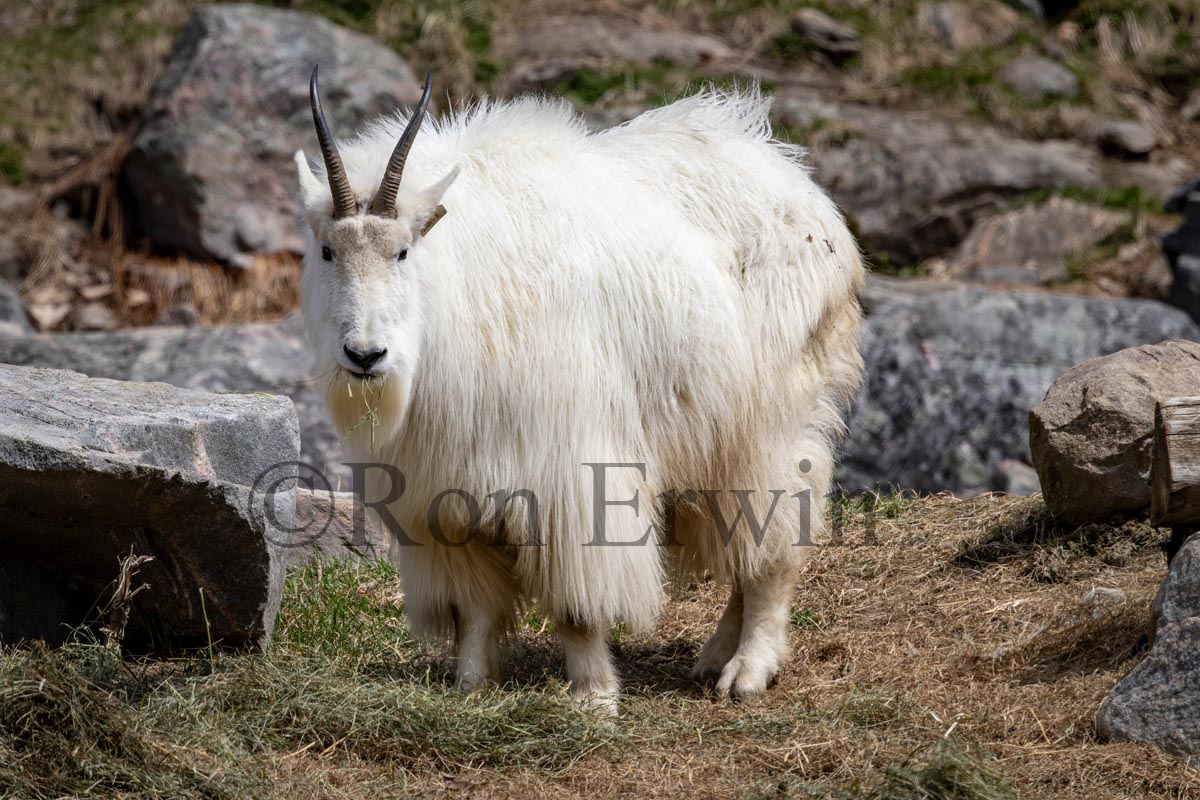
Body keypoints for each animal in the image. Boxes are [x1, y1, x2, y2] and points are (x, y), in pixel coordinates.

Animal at [295, 67, 865, 711]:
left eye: (402, 250)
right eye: (326, 250)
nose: (365, 356)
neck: (454, 289)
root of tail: (809, 196)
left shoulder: (570, 480)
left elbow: (577, 607)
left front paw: (594, 698)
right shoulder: (446, 496)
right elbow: (478, 609)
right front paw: (471, 688)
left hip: (771, 425)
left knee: (771, 547)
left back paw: (746, 670)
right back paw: (713, 657)